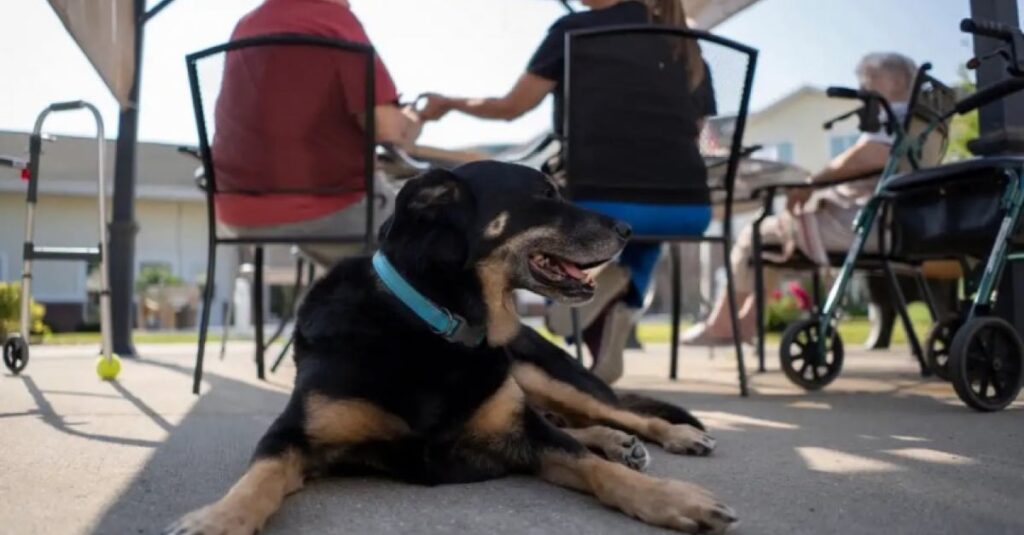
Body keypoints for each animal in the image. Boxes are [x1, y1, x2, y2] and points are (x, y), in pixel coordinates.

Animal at [163, 159, 733, 528]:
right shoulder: (292, 435)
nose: (630, 228)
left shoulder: (526, 434)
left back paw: (671, 436)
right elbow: (257, 481)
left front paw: (673, 499)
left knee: (618, 411)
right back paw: (617, 442)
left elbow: (594, 468)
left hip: (543, 374)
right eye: (544, 195)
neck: (437, 323)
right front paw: (219, 519)